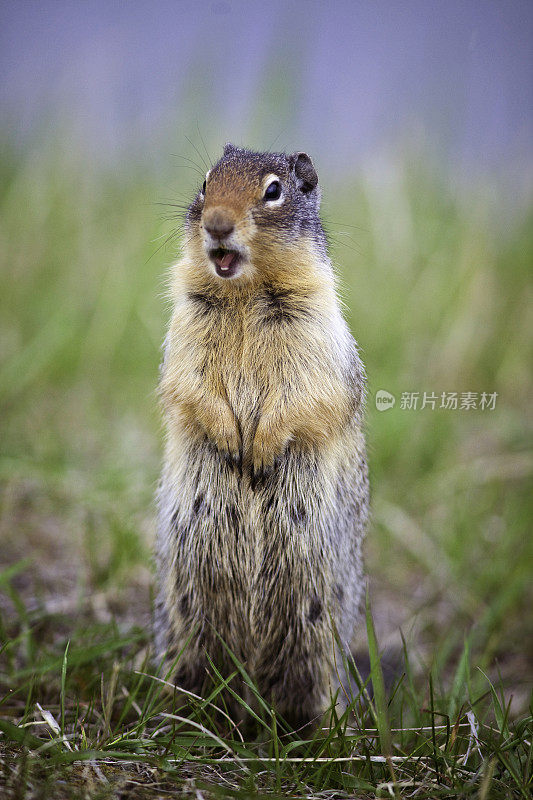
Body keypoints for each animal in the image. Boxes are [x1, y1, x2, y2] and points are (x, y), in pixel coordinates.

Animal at [156, 144, 368, 732]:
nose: (216, 223)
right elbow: (190, 383)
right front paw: (233, 441)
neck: (244, 292)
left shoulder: (315, 329)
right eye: (207, 181)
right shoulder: (186, 325)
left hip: (316, 625)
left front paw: (261, 449)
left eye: (274, 190)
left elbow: (306, 394)